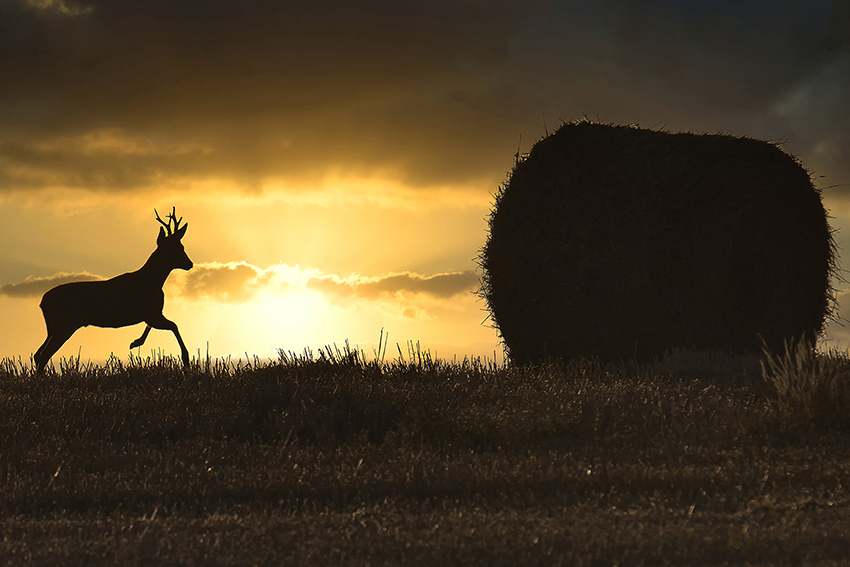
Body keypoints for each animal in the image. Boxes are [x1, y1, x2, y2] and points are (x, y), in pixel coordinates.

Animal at [34, 207, 193, 372]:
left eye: (181, 246)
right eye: (174, 248)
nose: (190, 263)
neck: (153, 282)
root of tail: (43, 301)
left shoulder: (152, 314)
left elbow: (154, 327)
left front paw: (135, 342)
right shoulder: (151, 313)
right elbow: (174, 325)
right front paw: (186, 360)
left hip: (52, 327)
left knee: (38, 353)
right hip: (65, 324)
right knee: (44, 354)